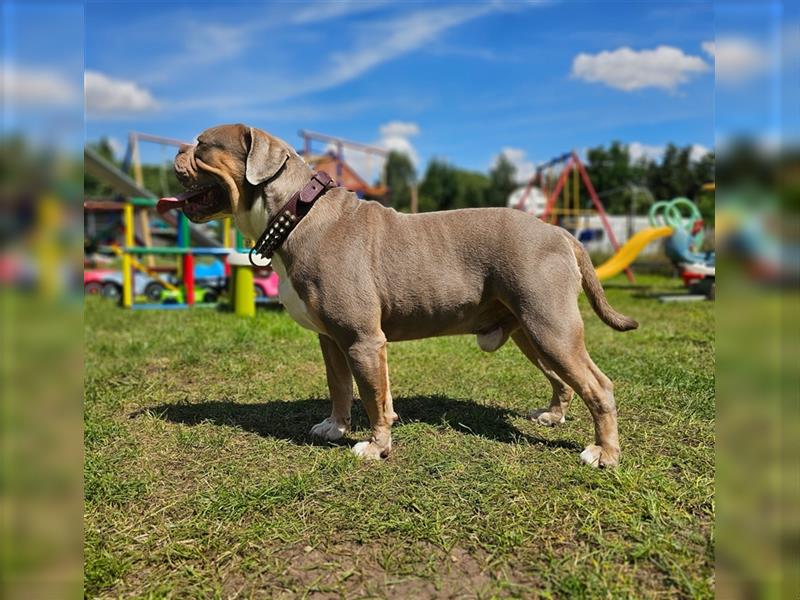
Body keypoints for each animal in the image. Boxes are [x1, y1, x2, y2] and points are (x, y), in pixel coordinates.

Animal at [169, 123, 636, 468]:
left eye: (202, 145)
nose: (174, 153)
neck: (295, 213)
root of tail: (559, 232)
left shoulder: (362, 340)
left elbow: (370, 397)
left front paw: (376, 446)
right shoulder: (333, 341)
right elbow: (342, 387)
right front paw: (336, 428)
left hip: (551, 327)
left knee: (598, 385)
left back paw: (604, 453)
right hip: (531, 331)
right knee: (561, 380)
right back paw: (553, 416)